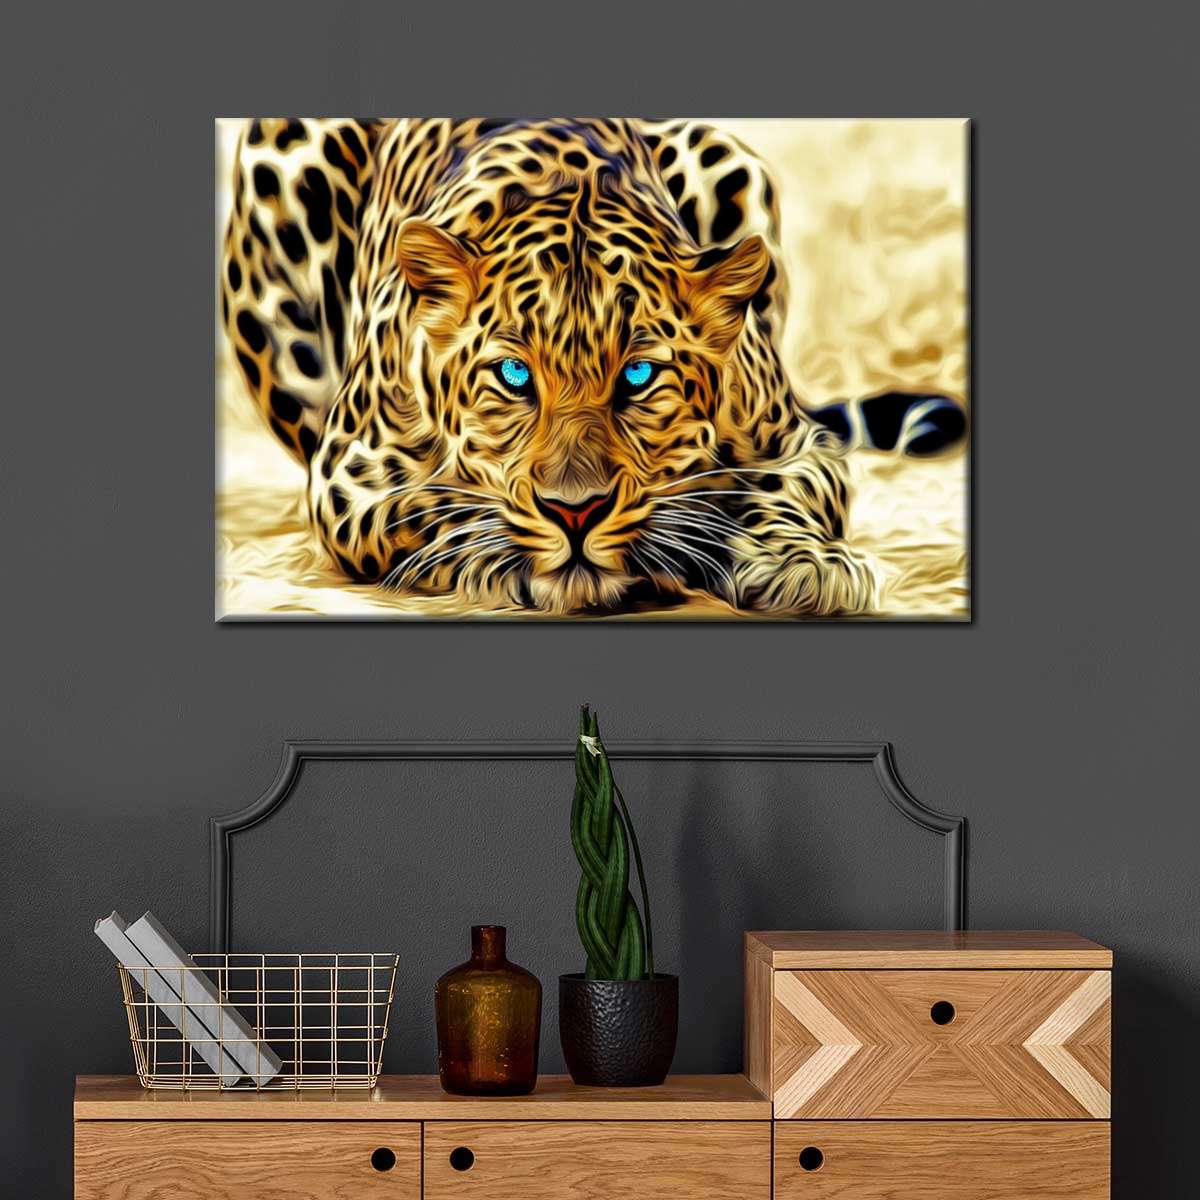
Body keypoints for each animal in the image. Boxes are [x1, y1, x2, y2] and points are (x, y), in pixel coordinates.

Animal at [220, 118, 964, 617]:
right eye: (514, 377)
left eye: (638, 377)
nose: (574, 513)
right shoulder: (349, 473)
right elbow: (435, 504)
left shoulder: (797, 443)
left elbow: (788, 490)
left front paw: (803, 561)